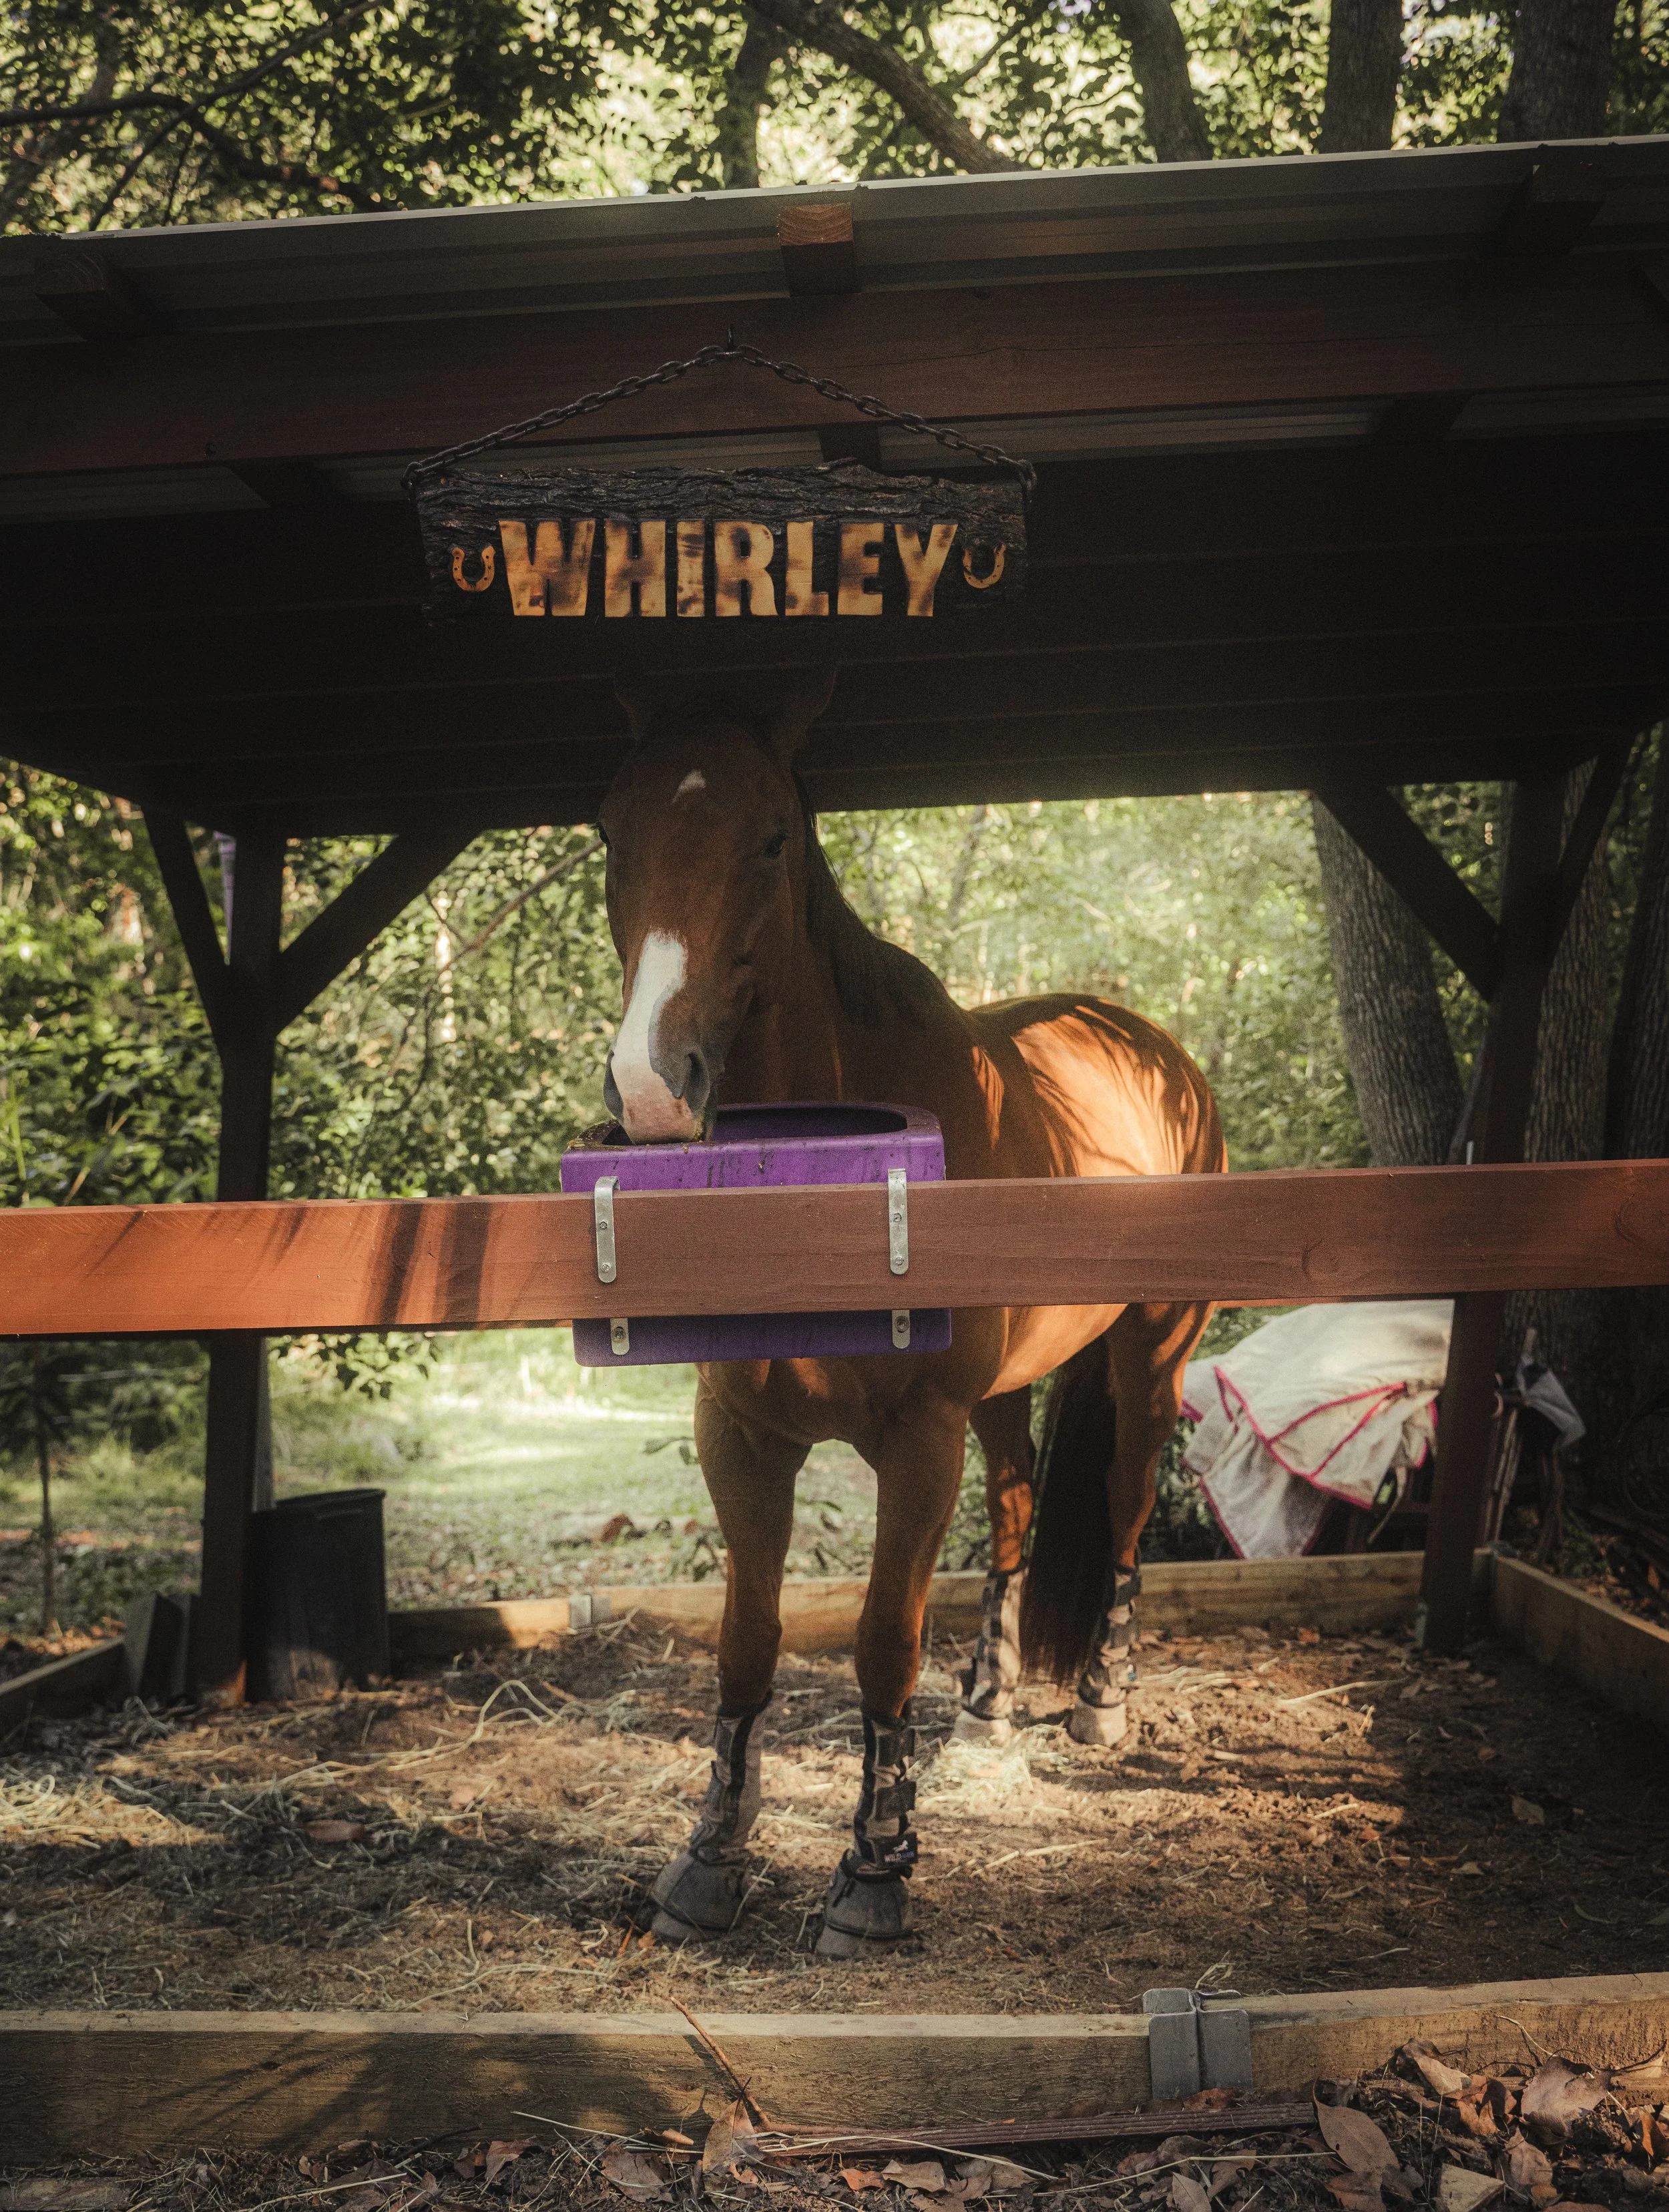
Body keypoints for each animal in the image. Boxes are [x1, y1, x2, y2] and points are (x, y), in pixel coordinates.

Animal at [595, 670, 1224, 1960]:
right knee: (1022, 1502)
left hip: (1153, 1351)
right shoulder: (742, 1435)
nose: (651, 1088)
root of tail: (1152, 1048)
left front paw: (874, 1871)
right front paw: (709, 1858)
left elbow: (886, 1638)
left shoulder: (917, 1440)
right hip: (1006, 1392)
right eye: (609, 839)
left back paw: (1101, 1704)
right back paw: (987, 1710)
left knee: (1127, 1497)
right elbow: (747, 1639)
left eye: (773, 839)